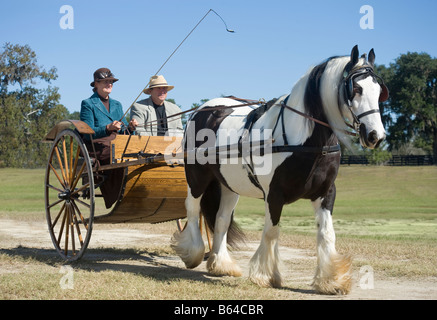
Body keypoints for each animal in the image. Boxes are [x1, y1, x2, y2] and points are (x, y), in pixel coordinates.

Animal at [172, 45, 386, 296]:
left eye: (379, 91)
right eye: (357, 89)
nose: (376, 135)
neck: (306, 141)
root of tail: (204, 109)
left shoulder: (325, 193)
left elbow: (326, 234)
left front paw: (331, 280)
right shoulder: (274, 195)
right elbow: (271, 232)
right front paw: (266, 275)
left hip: (229, 186)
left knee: (221, 220)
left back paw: (221, 264)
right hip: (197, 177)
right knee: (192, 209)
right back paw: (193, 253)